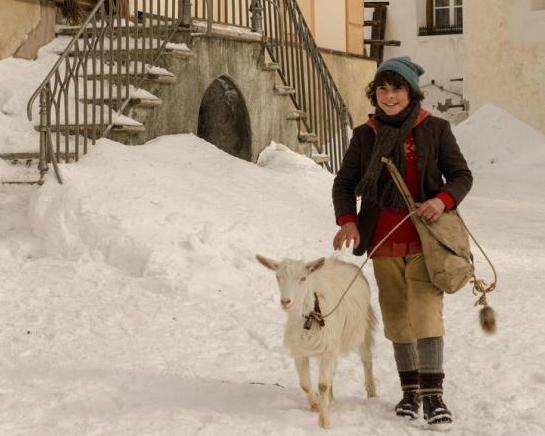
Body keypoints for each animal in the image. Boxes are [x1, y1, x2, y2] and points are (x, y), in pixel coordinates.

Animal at [256, 254, 376, 428]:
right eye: (278, 276)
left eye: (303, 278)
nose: (285, 302)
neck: (310, 315)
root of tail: (343, 262)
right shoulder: (300, 352)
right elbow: (305, 384)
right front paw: (316, 405)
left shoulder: (327, 350)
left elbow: (323, 385)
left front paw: (324, 422)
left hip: (363, 326)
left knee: (366, 358)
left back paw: (372, 393)